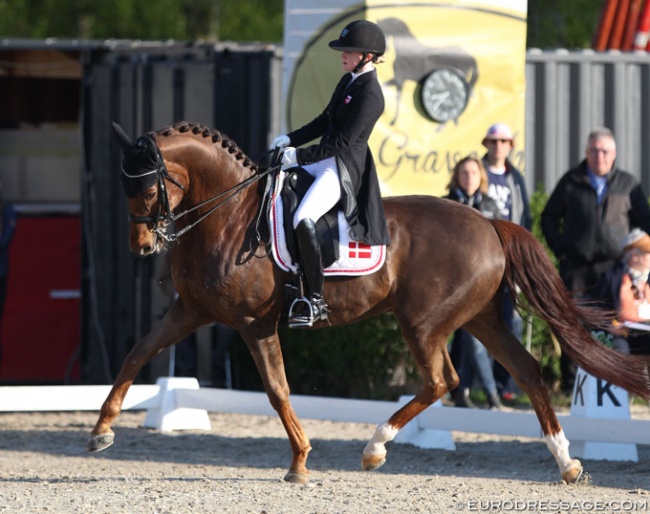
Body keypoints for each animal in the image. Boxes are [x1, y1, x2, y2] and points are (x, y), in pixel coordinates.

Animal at [90, 121, 648, 484]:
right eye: (123, 185)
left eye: (148, 188)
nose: (143, 246)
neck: (228, 217)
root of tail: (490, 222)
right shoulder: (191, 311)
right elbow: (136, 354)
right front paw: (100, 432)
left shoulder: (253, 324)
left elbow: (277, 390)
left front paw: (300, 462)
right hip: (480, 319)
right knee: (527, 372)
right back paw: (567, 462)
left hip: (423, 321)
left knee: (443, 380)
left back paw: (374, 448)